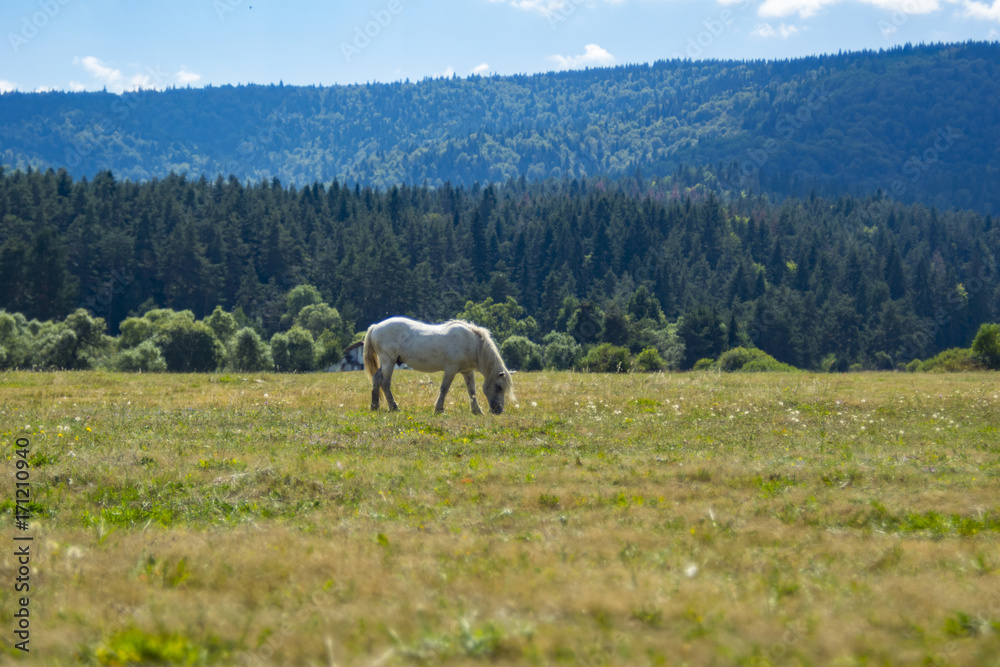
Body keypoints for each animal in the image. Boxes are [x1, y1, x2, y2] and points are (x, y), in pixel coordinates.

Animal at [364, 318, 516, 412]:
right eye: (499, 386)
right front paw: (439, 409)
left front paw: (477, 411)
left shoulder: (467, 371)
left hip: (385, 363)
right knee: (385, 383)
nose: (499, 411)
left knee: (376, 379)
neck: (473, 344)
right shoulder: (450, 369)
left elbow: (471, 391)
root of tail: (376, 326)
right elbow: (444, 389)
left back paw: (374, 406)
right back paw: (394, 407)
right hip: (388, 362)